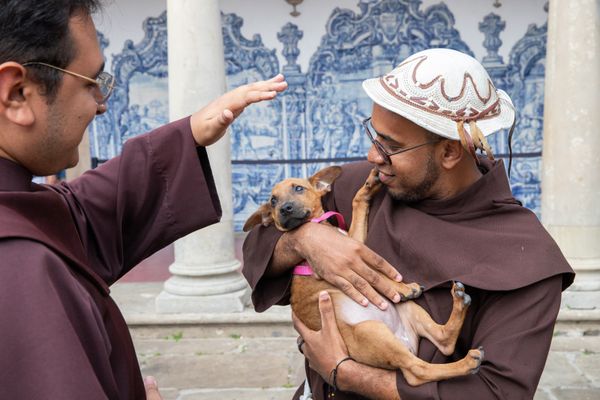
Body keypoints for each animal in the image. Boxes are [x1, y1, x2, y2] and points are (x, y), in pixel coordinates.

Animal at [244, 165, 482, 384]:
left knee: (443, 342)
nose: (284, 209)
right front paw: (404, 286)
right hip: (371, 331)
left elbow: (357, 204)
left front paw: (369, 186)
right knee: (418, 371)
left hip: (409, 310)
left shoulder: (355, 243)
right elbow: (379, 276)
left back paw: (459, 303)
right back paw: (467, 363)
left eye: (298, 188)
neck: (318, 225)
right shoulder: (345, 260)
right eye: (273, 201)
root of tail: (404, 341)